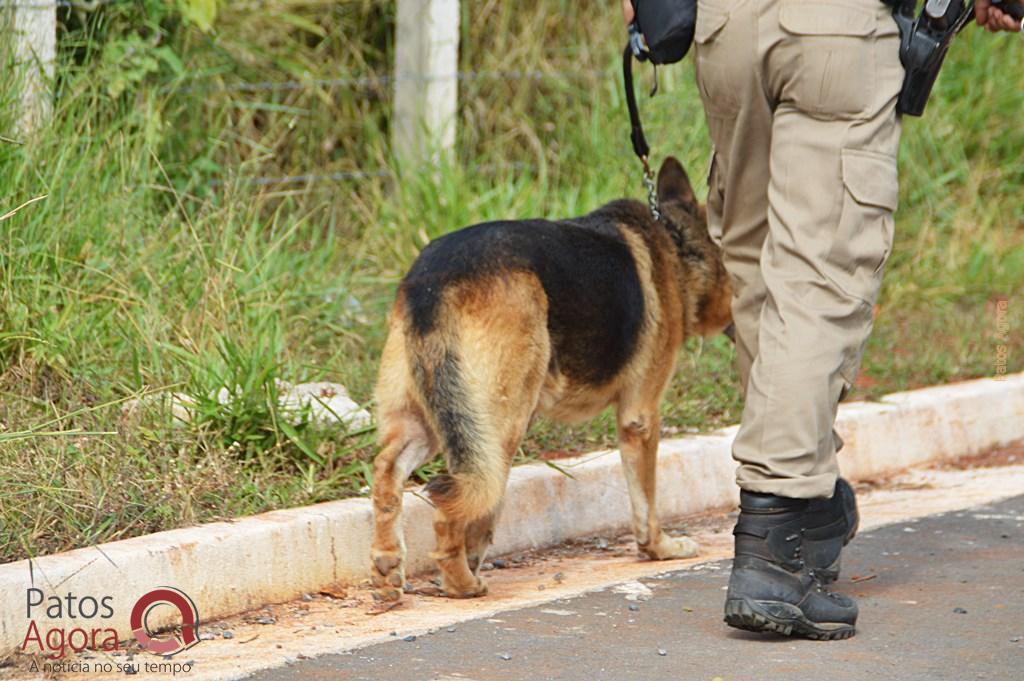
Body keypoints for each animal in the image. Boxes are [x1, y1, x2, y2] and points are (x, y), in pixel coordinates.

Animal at [372, 156, 733, 598]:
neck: (676, 239)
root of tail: (431, 283)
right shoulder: (640, 417)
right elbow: (646, 501)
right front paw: (660, 548)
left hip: (442, 421)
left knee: (390, 472)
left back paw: (390, 564)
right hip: (498, 427)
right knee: (450, 505)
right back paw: (461, 583)